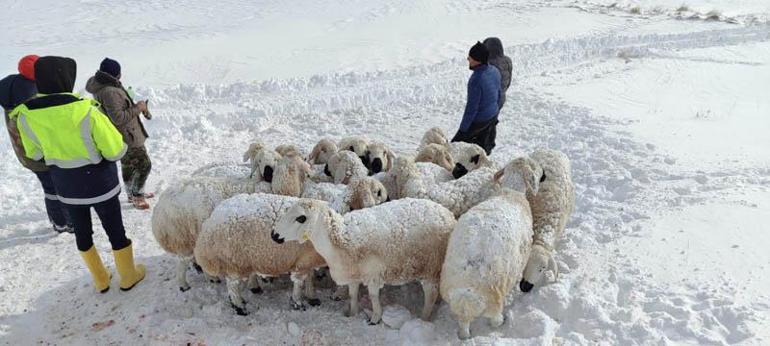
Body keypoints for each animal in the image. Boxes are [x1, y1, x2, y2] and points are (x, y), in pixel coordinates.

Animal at [194, 193, 326, 314]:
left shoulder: (309, 259)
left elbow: (310, 276)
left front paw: (311, 296)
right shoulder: (304, 259)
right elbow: (300, 281)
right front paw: (298, 303)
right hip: (233, 259)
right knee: (232, 284)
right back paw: (239, 306)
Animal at [272, 197, 456, 324]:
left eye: (301, 218)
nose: (274, 235)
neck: (340, 238)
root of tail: (448, 215)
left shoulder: (373, 274)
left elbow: (373, 296)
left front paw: (375, 318)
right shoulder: (353, 274)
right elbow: (353, 295)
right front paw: (352, 314)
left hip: (430, 266)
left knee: (430, 295)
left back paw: (424, 318)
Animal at [438, 157, 536, 340]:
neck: (511, 192)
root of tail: (466, 293)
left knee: (463, 327)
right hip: (495, 300)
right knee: (494, 320)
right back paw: (502, 322)